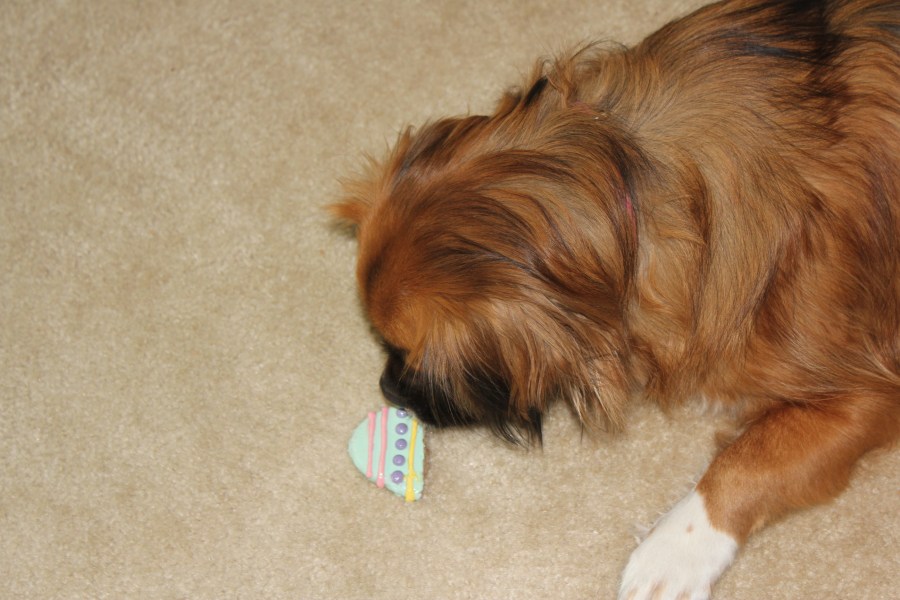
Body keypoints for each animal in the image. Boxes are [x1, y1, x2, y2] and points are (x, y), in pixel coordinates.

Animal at [333, 0, 899, 597]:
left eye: (416, 356)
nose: (388, 387)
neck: (624, 178)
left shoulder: (869, 395)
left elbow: (750, 459)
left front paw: (675, 550)